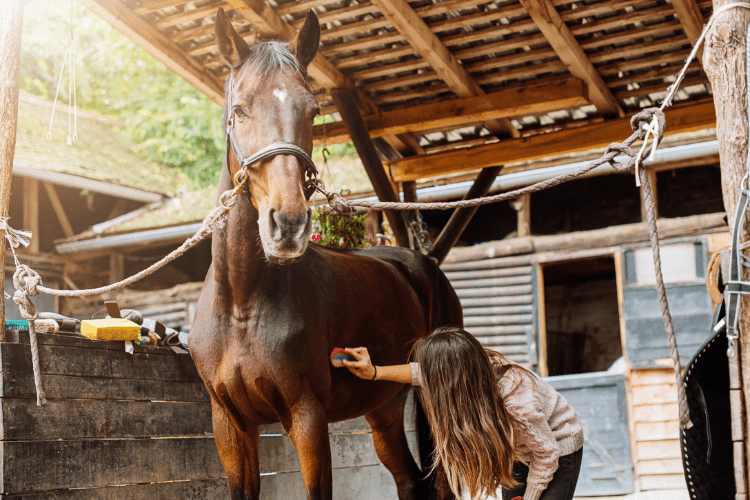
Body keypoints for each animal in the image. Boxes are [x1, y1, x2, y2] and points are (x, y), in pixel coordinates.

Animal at [189, 8, 464, 500]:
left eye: (312, 110)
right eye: (239, 110)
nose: (289, 224)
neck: (241, 303)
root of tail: (422, 265)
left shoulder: (307, 418)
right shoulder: (231, 424)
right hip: (384, 406)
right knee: (409, 479)